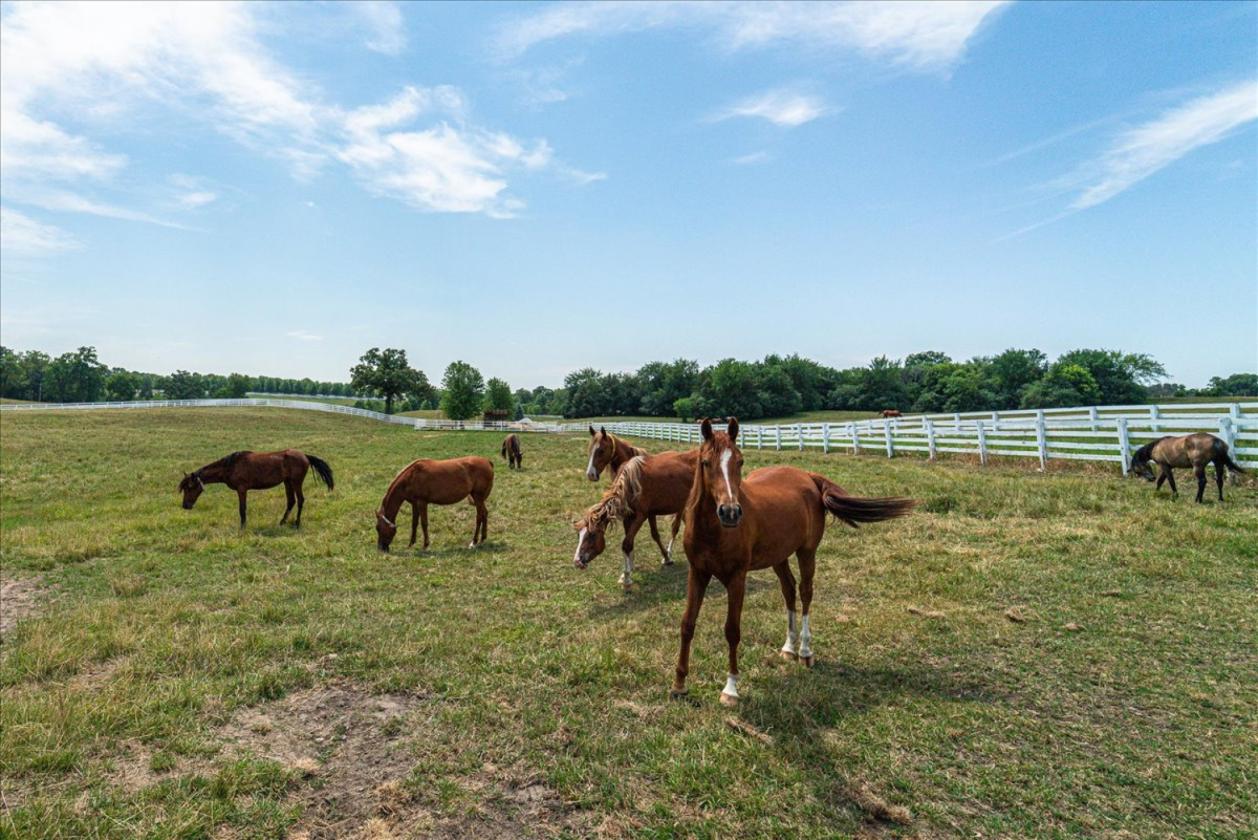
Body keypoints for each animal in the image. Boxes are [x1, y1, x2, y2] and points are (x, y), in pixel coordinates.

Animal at [179, 449, 333, 529]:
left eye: (190, 488)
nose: (185, 506)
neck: (230, 466)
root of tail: (305, 455)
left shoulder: (242, 489)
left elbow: (242, 509)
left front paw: (243, 527)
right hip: (287, 482)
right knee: (291, 501)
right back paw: (282, 522)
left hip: (296, 482)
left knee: (300, 500)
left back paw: (296, 523)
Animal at [572, 451, 697, 589]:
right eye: (579, 535)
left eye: (592, 535)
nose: (577, 561)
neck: (630, 484)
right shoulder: (633, 516)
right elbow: (639, 539)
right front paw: (629, 570)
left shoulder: (641, 516)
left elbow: (626, 543)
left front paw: (626, 577)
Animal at [672, 418, 915, 706]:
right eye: (706, 462)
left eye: (740, 461)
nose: (730, 512)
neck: (714, 531)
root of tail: (809, 476)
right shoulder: (697, 573)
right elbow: (687, 624)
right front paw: (679, 684)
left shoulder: (737, 578)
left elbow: (732, 630)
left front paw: (730, 689)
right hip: (779, 556)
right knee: (788, 590)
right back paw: (789, 647)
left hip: (806, 552)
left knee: (805, 592)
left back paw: (805, 651)